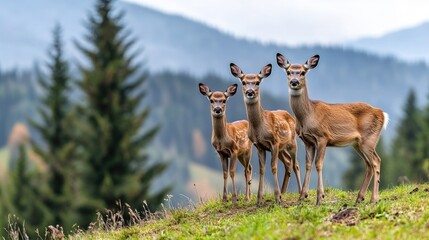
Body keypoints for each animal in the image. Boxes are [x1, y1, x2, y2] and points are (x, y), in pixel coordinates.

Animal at [231, 62, 300, 205]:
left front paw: (276, 197)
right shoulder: (259, 146)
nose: (250, 92)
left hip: (291, 142)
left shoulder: (274, 142)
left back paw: (301, 193)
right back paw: (284, 192)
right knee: (288, 161)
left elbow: (273, 167)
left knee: (296, 164)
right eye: (243, 82)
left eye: (257, 82)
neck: (259, 128)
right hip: (281, 148)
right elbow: (262, 169)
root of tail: (291, 116)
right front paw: (259, 199)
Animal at [276, 53, 390, 205]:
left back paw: (373, 199)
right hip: (358, 144)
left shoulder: (323, 137)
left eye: (303, 72)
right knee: (369, 164)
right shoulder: (307, 141)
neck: (307, 115)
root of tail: (382, 113)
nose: (294, 82)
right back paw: (360, 197)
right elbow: (308, 164)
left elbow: (318, 164)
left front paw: (320, 197)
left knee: (376, 162)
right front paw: (302, 196)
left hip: (369, 139)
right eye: (288, 72)